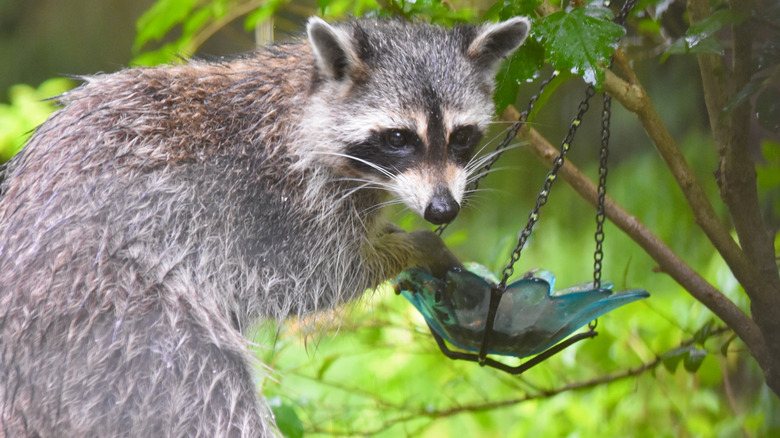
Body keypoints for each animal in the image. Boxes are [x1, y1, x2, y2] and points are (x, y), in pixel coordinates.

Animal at [0, 16, 530, 437]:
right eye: (399, 138)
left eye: (461, 137)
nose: (442, 211)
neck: (304, 107)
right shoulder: (263, 199)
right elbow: (311, 275)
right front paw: (411, 248)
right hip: (117, 317)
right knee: (207, 397)